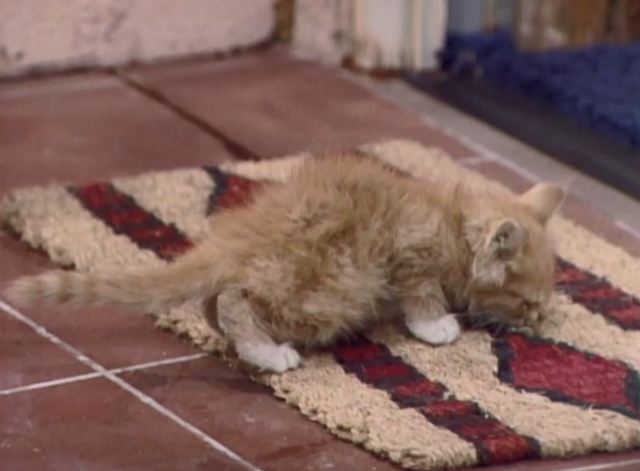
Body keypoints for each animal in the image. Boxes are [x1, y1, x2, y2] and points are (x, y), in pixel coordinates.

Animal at [5, 153, 564, 374]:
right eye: (528, 302)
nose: (542, 318)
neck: (453, 219)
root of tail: (235, 239)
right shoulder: (412, 256)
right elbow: (421, 297)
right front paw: (438, 326)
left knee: (215, 303)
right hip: (333, 288)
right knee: (236, 303)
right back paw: (269, 354)